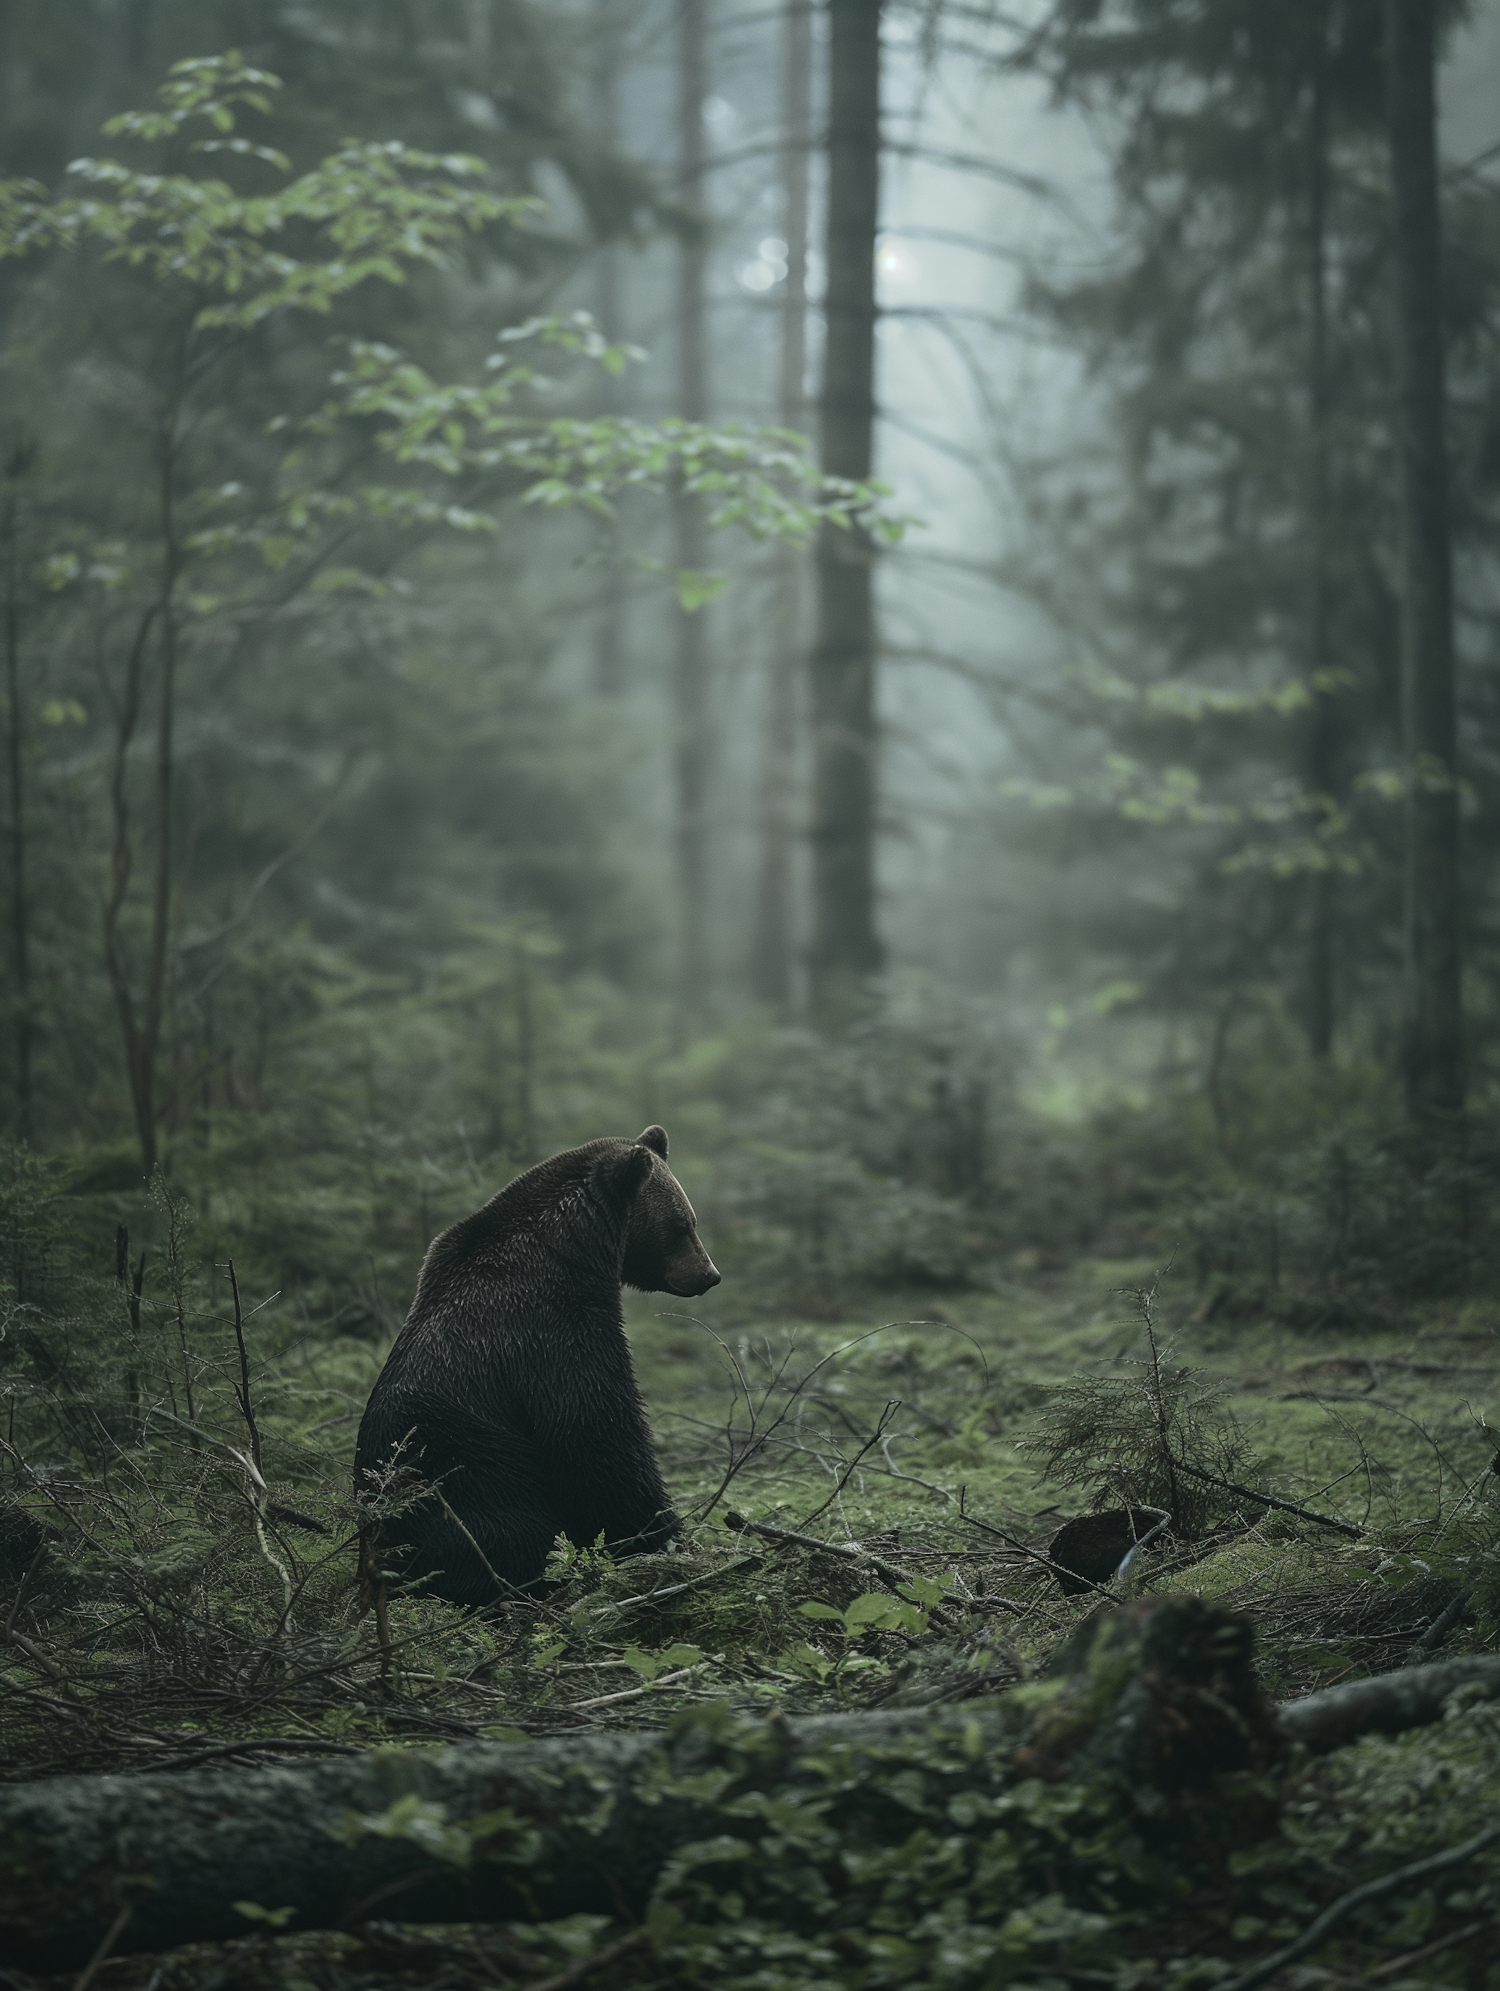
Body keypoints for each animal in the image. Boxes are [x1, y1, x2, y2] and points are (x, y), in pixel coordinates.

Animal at [356, 1130, 721, 1608]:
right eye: (682, 1224)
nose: (710, 1274)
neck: (576, 1248)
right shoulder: (549, 1329)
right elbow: (595, 1436)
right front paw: (665, 1538)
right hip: (466, 1478)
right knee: (510, 1534)